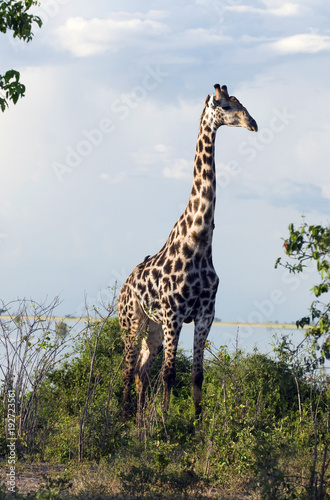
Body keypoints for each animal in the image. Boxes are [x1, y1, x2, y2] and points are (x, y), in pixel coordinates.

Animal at [118, 82, 258, 426]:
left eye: (242, 104)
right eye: (224, 106)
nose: (253, 124)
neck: (199, 241)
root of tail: (123, 286)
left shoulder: (205, 314)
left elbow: (197, 375)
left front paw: (196, 427)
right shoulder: (175, 314)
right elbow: (170, 374)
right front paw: (166, 426)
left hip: (152, 329)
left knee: (141, 370)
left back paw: (137, 421)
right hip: (132, 322)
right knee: (128, 369)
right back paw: (122, 419)